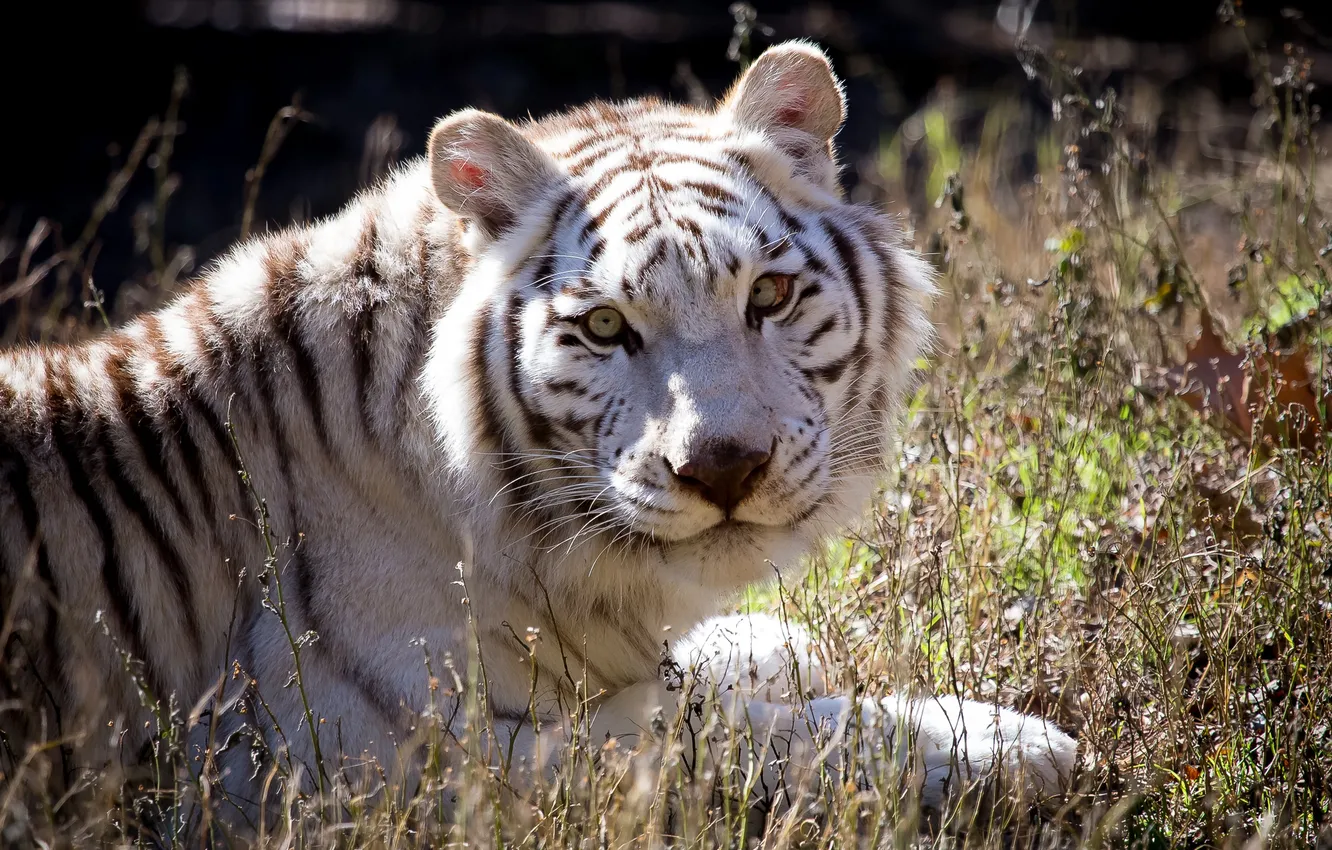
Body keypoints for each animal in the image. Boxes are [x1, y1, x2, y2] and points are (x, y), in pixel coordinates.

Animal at [0, 40, 1075, 830]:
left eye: (769, 295)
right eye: (603, 325)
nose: (725, 466)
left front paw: (770, 636)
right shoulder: (376, 754)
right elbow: (733, 733)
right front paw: (1004, 744)